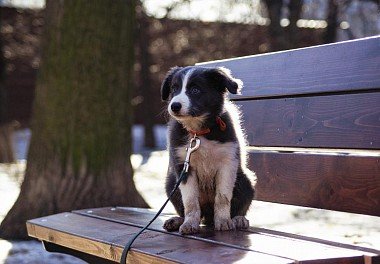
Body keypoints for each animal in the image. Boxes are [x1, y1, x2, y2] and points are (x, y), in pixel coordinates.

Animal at [162, 66, 256, 235]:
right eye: (174, 89)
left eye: (195, 90)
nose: (174, 106)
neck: (198, 132)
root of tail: (207, 216)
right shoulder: (183, 166)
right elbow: (190, 201)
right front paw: (189, 224)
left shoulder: (228, 162)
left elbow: (222, 197)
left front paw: (224, 221)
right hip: (171, 182)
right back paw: (177, 220)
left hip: (246, 180)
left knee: (239, 206)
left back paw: (238, 219)